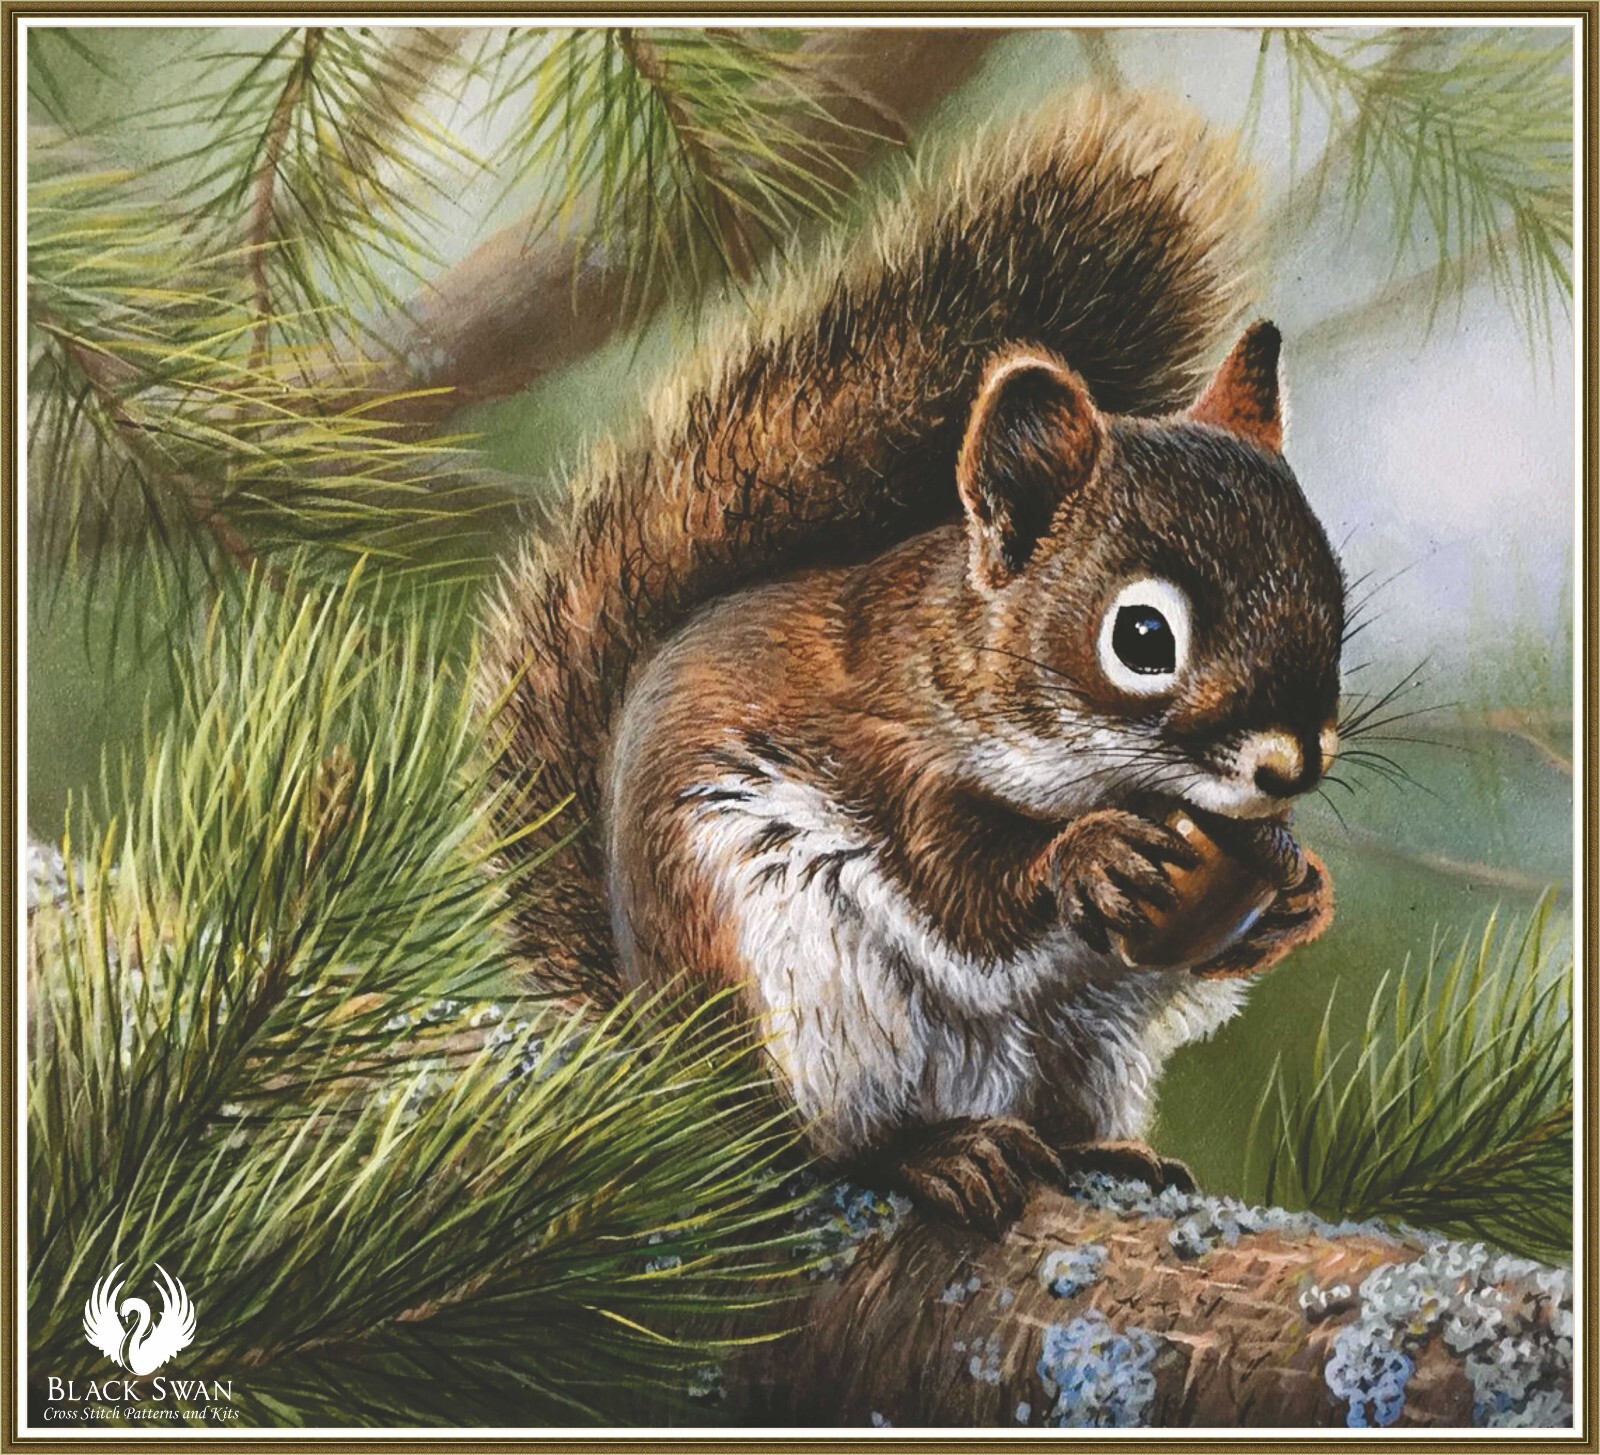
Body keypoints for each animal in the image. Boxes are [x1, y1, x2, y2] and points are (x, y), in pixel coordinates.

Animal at [480, 91, 1344, 1232]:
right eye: (1143, 638)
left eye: (1333, 588)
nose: (1291, 765)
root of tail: (665, 1062)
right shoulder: (892, 761)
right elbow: (960, 899)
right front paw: (1088, 857)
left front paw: (1299, 894)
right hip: (794, 989)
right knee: (812, 1152)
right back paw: (931, 1154)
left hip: (1087, 1042)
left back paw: (1104, 1150)